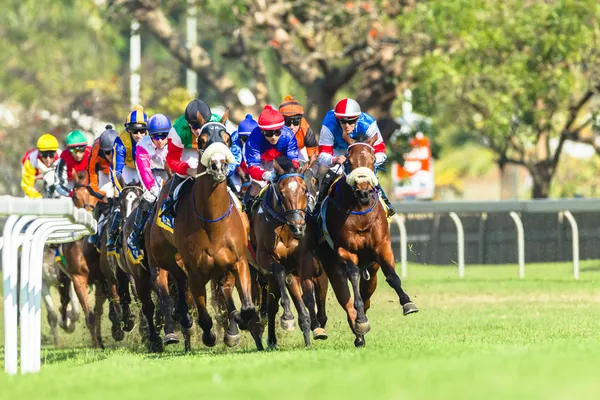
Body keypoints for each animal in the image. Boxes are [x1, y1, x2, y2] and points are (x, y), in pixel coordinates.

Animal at [146, 109, 264, 350]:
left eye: (228, 139)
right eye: (202, 141)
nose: (218, 165)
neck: (212, 223)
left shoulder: (239, 261)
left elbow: (246, 308)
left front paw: (238, 321)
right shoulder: (195, 271)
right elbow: (203, 316)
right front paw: (208, 334)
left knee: (223, 289)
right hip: (163, 257)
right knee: (178, 279)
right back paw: (184, 319)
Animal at [318, 134, 418, 346]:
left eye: (372, 160)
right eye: (349, 161)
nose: (364, 193)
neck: (360, 212)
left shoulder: (382, 246)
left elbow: (392, 276)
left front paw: (408, 303)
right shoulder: (345, 250)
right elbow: (354, 278)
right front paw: (361, 321)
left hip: (371, 269)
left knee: (367, 295)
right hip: (330, 265)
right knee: (345, 297)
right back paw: (358, 328)